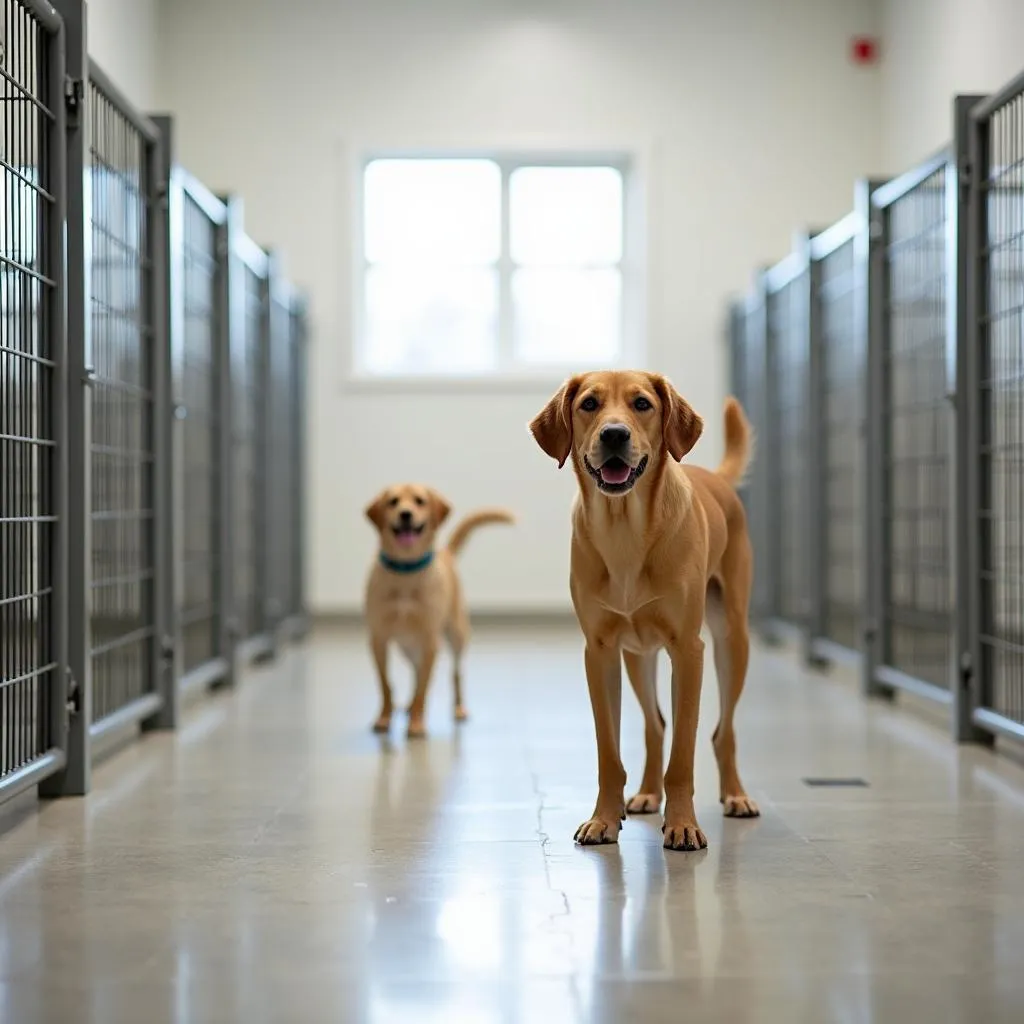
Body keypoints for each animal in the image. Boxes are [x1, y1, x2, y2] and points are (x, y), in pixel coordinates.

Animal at [364, 485, 516, 737]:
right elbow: (386, 685)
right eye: (393, 502)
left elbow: (423, 689)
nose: (405, 514)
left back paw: (457, 708)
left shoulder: (430, 640)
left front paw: (417, 723)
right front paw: (384, 718)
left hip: (456, 636)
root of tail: (446, 551)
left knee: (455, 674)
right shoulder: (379, 639)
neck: (406, 572)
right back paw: (407, 705)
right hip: (408, 645)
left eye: (420, 501)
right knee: (415, 672)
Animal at [528, 372, 761, 851]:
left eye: (642, 404)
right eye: (589, 403)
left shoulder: (689, 651)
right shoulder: (599, 652)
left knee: (722, 730)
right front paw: (603, 818)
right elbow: (610, 751)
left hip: (732, 640)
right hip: (638, 655)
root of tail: (716, 478)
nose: (614, 434)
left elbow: (684, 754)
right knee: (655, 725)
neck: (625, 531)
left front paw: (683, 824)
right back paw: (648, 793)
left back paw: (735, 795)